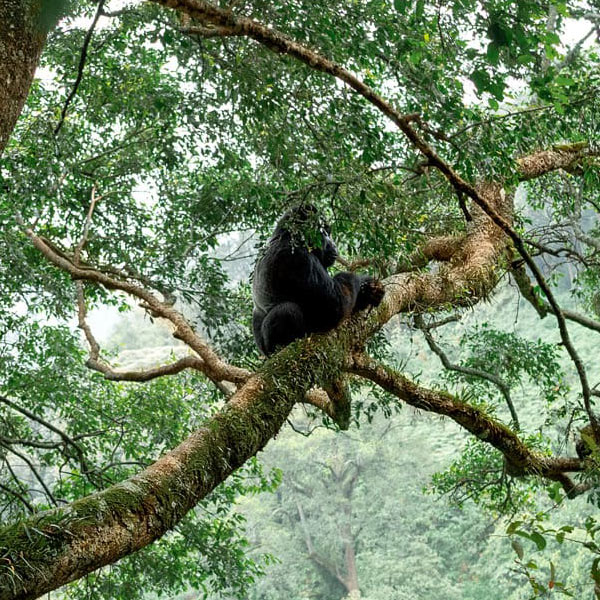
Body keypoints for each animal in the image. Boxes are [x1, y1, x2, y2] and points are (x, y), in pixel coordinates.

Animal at [250, 206, 382, 356]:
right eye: (324, 233)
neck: (287, 236)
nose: (333, 244)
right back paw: (284, 345)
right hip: (270, 349)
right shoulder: (299, 258)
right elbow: (336, 305)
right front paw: (363, 281)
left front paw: (370, 291)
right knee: (287, 310)